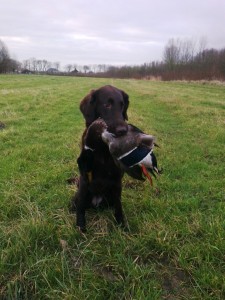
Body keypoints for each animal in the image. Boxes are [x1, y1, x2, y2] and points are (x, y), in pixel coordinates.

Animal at [71, 85, 129, 231]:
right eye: (107, 105)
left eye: (122, 105)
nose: (123, 130)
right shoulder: (85, 179)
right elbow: (81, 209)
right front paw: (81, 227)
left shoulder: (117, 182)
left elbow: (119, 207)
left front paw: (121, 224)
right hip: (77, 196)